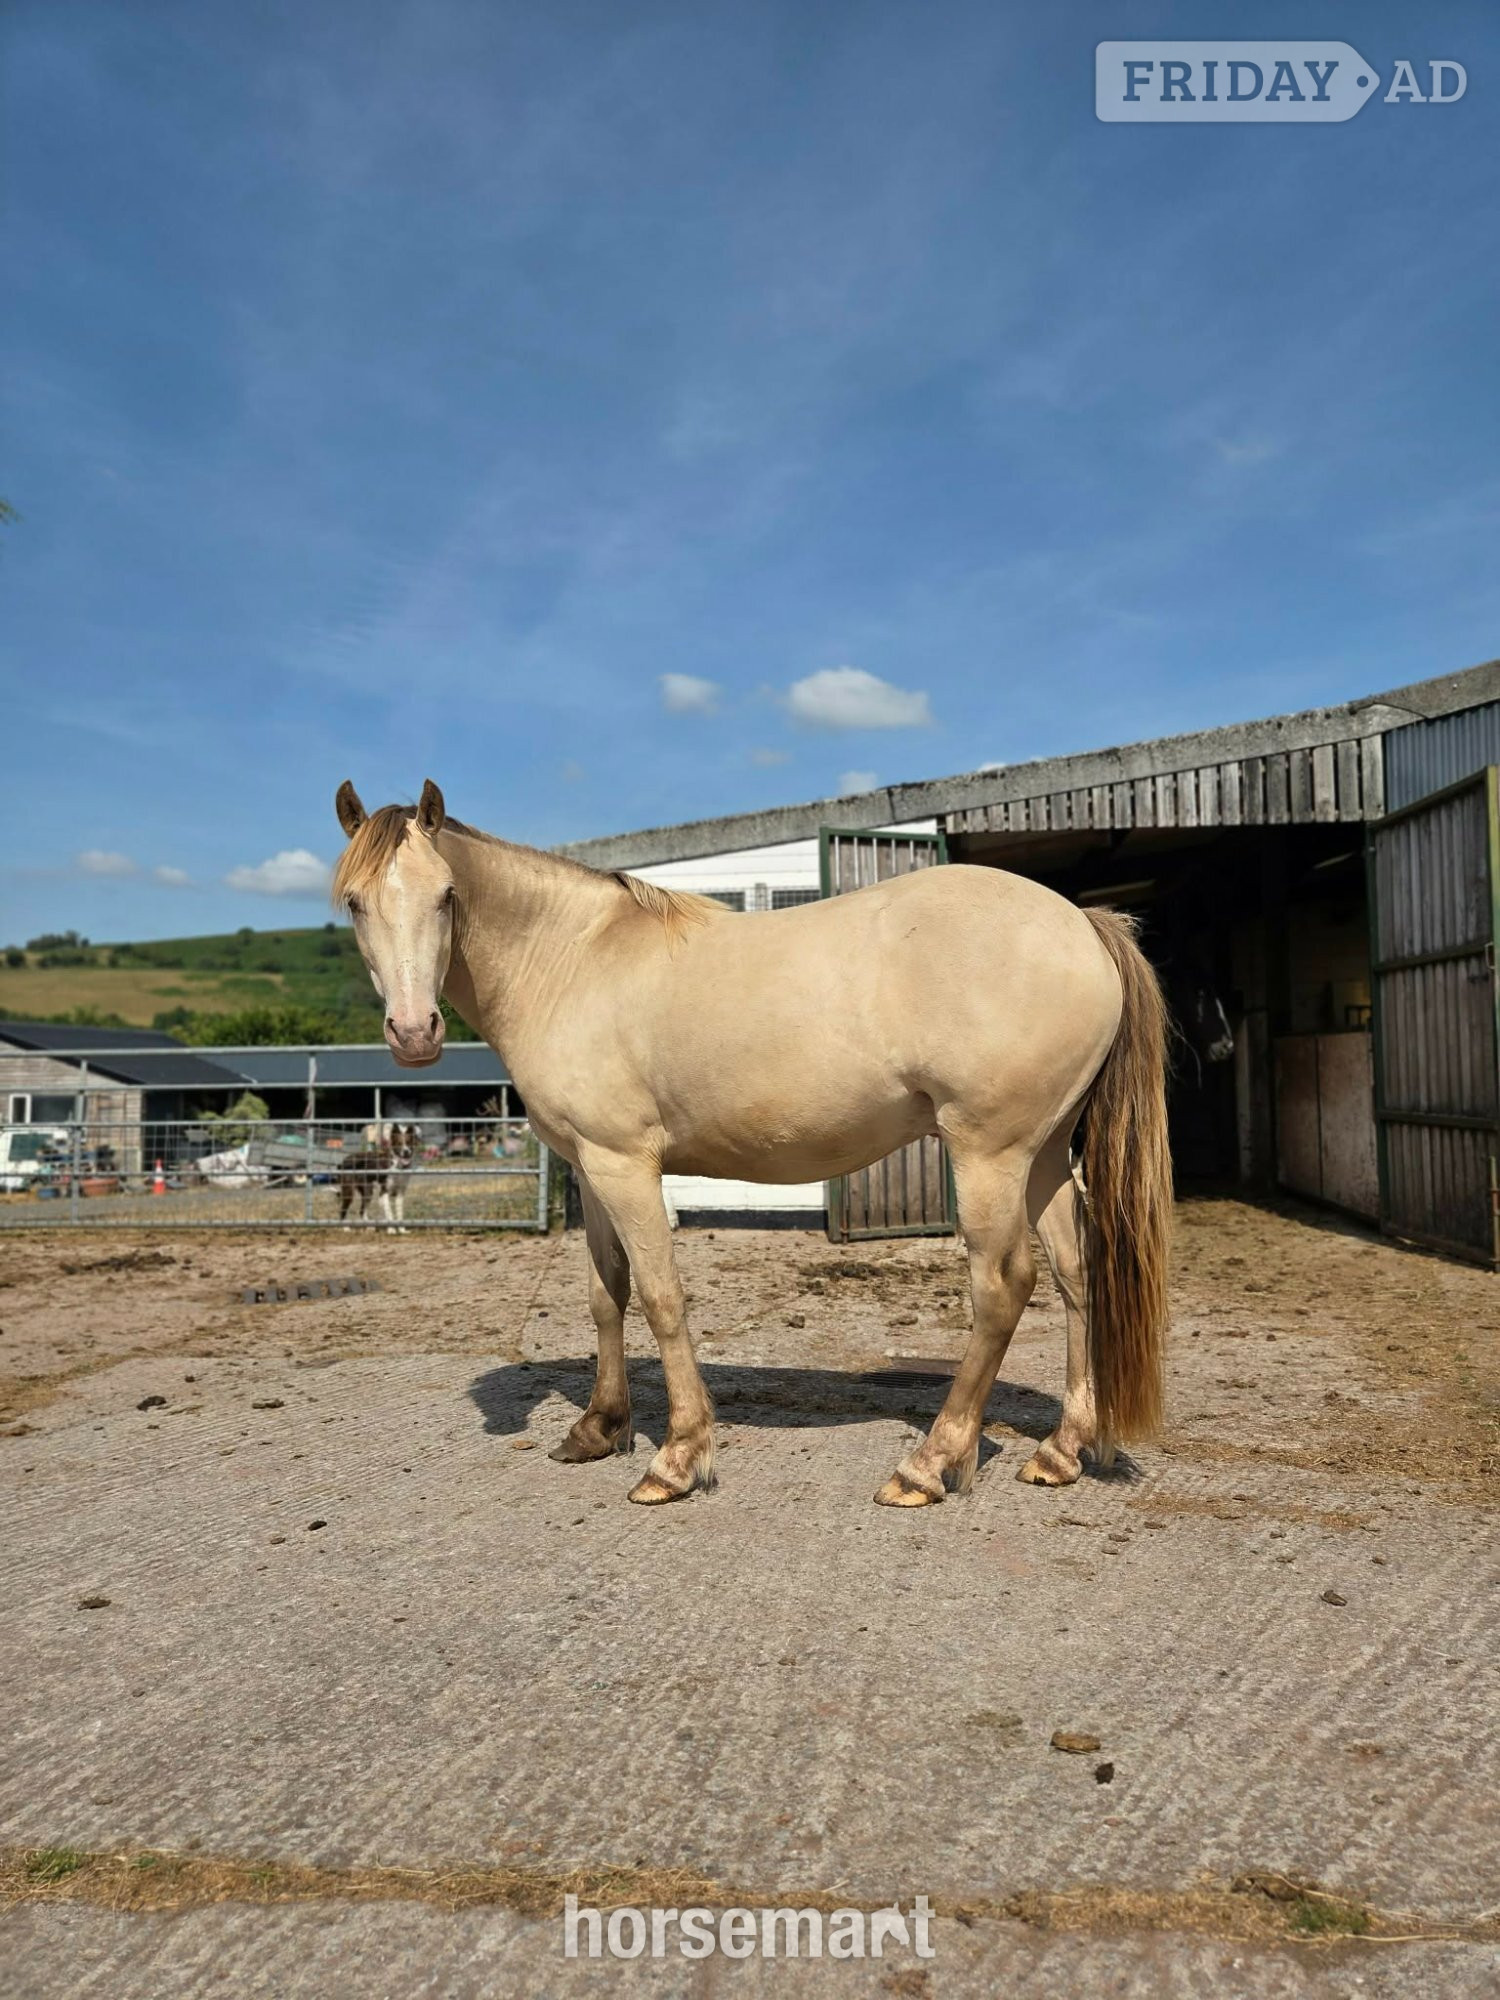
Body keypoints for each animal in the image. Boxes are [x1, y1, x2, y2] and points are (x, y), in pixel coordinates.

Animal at [333, 779, 1172, 1508]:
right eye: (354, 903)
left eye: (446, 896)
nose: (414, 1034)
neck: (571, 960)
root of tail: (1083, 926)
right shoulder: (590, 1165)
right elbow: (609, 1294)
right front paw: (599, 1427)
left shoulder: (626, 1166)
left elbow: (661, 1296)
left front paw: (676, 1459)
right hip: (1043, 1156)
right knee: (1076, 1274)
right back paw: (1061, 1450)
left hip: (990, 1156)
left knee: (1002, 1289)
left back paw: (930, 1464)